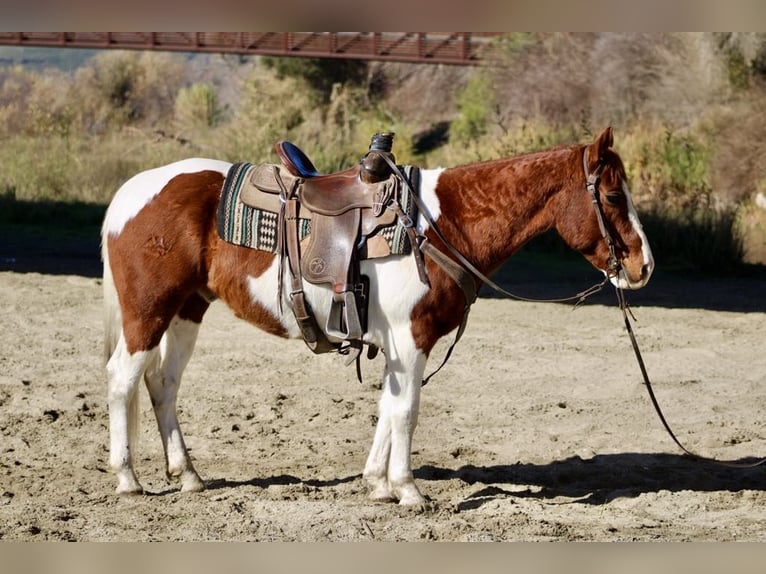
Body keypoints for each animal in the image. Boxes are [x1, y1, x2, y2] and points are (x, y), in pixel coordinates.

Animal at [101, 127, 654, 506]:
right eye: (611, 195)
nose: (643, 266)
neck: (441, 224)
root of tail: (129, 193)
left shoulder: (398, 347)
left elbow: (388, 407)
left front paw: (378, 483)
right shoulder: (412, 340)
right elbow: (406, 411)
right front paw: (407, 489)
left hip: (187, 310)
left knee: (163, 384)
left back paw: (188, 475)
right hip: (148, 312)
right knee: (122, 381)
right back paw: (128, 479)